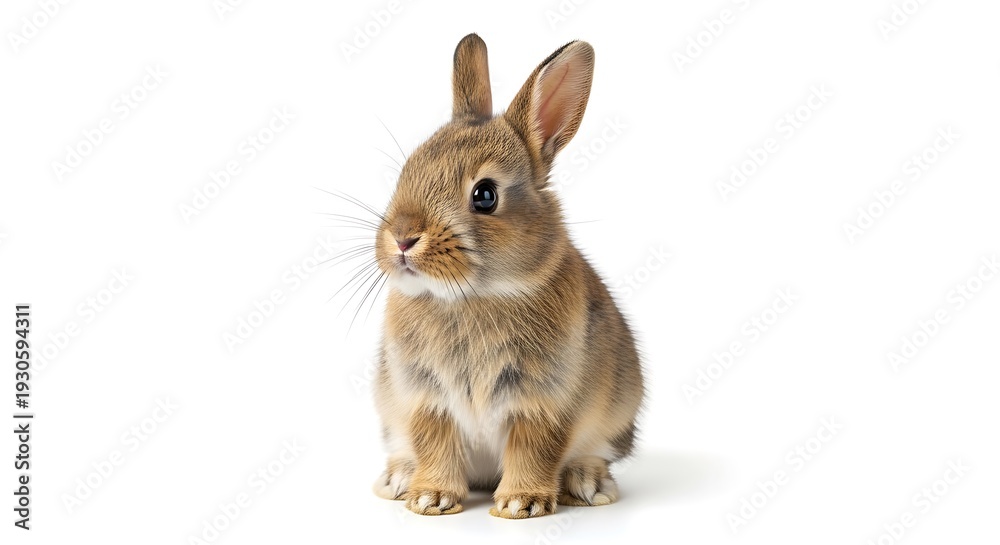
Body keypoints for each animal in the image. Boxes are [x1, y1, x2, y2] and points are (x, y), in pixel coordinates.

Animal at [370, 33, 644, 519]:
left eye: (485, 195)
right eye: (407, 171)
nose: (402, 239)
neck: (470, 296)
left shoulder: (545, 400)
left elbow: (535, 447)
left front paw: (521, 503)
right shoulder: (423, 397)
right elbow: (434, 443)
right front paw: (430, 498)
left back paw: (588, 484)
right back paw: (398, 479)